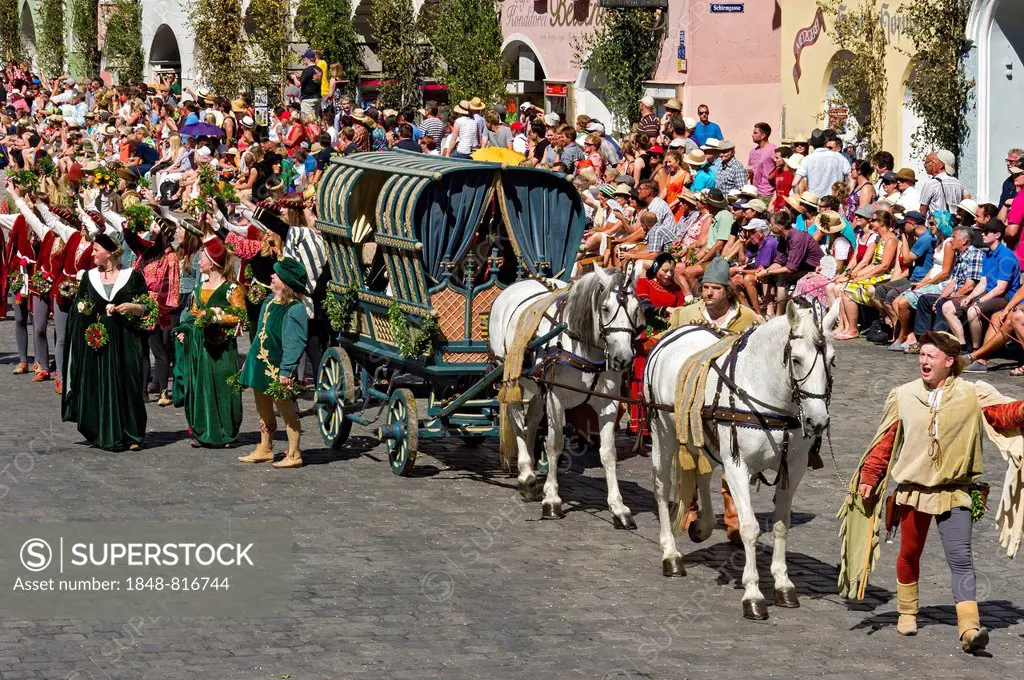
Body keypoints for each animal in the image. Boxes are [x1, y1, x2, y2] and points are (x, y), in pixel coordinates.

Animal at [487, 266, 638, 524]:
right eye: (605, 308)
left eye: (637, 309)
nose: (623, 358)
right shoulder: (556, 399)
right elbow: (555, 444)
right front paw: (552, 500)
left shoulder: (608, 404)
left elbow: (608, 453)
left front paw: (619, 507)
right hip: (511, 376)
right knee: (517, 419)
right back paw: (525, 473)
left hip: (538, 385)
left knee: (531, 420)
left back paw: (530, 473)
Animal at [647, 301, 839, 618]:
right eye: (796, 360)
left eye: (832, 361)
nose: (818, 421)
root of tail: (676, 331)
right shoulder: (738, 466)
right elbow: (750, 528)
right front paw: (753, 593)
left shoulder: (793, 467)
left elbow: (781, 524)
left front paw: (783, 584)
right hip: (663, 431)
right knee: (662, 486)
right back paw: (670, 553)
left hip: (704, 435)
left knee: (703, 472)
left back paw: (702, 526)